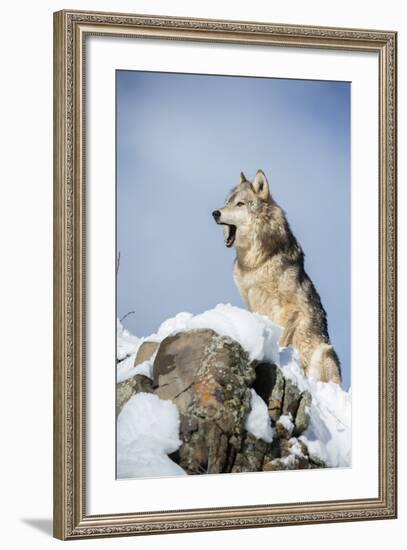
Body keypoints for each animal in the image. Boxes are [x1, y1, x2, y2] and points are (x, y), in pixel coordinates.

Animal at [212, 170, 342, 386]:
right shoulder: (252, 302)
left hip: (324, 353)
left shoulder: (288, 308)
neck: (255, 263)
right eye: (227, 202)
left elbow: (281, 334)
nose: (215, 213)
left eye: (240, 204)